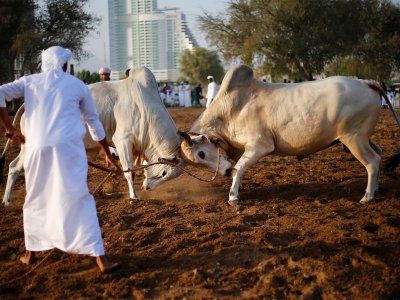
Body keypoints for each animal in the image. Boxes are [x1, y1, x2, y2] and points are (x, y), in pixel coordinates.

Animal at [1, 66, 186, 205]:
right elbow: (129, 171)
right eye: (164, 173)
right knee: (15, 166)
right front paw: (134, 196)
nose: (148, 187)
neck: (145, 107)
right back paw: (8, 200)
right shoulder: (123, 141)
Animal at [180, 63, 400, 209]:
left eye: (201, 153)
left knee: (372, 162)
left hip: (354, 139)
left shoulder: (259, 146)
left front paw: (233, 196)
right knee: (379, 154)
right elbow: (237, 169)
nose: (223, 172)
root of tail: (365, 82)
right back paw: (376, 189)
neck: (231, 110)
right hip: (362, 138)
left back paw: (368, 196)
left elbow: (238, 168)